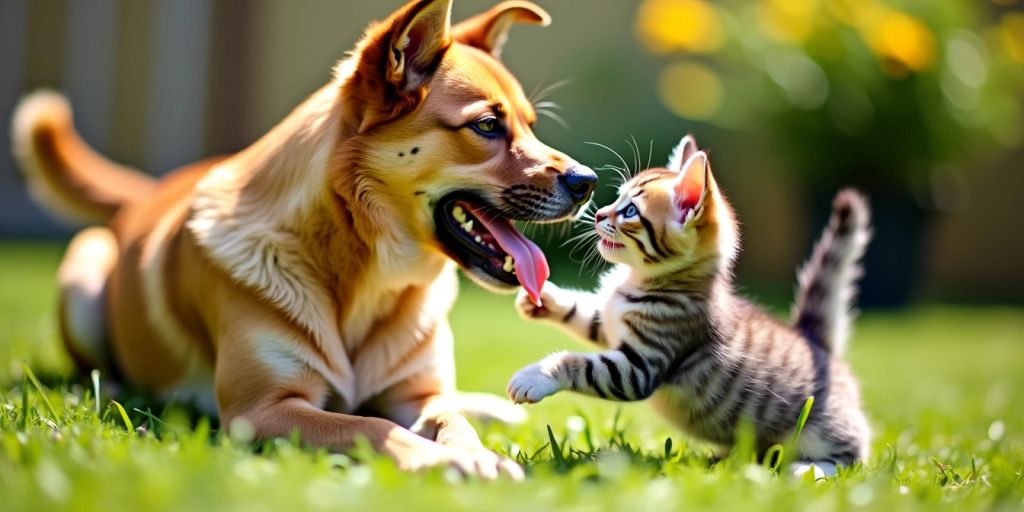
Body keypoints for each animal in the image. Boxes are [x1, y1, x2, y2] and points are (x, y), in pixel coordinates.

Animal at [12, 1, 598, 479]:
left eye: (529, 123)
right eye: (486, 126)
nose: (589, 182)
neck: (367, 280)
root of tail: (150, 191)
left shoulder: (418, 395)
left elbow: (451, 417)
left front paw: (473, 451)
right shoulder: (263, 410)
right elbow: (369, 427)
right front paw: (450, 462)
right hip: (82, 277)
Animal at [507, 135, 868, 475]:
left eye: (630, 211)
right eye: (617, 198)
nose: (597, 214)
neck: (641, 280)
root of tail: (817, 343)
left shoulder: (639, 365)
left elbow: (577, 364)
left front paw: (535, 376)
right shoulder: (609, 323)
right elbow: (586, 312)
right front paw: (543, 297)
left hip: (823, 430)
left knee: (854, 456)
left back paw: (810, 469)